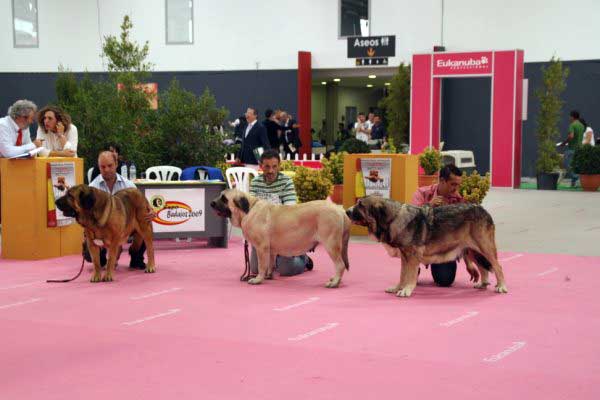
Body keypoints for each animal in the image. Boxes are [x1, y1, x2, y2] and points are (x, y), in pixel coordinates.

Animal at [211, 188, 352, 288]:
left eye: (224, 199)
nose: (211, 203)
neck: (248, 210)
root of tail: (340, 210)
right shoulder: (270, 250)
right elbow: (270, 263)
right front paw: (268, 276)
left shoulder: (262, 248)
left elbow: (262, 265)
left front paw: (258, 279)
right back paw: (335, 279)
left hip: (331, 245)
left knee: (340, 265)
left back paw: (334, 283)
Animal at [344, 195, 508, 298]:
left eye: (361, 205)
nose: (346, 211)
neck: (394, 218)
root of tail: (483, 209)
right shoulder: (405, 257)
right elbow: (402, 275)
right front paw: (398, 287)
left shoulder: (412, 256)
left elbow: (409, 275)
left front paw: (406, 290)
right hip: (472, 250)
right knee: (483, 267)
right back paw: (483, 284)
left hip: (485, 247)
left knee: (498, 266)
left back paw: (501, 286)